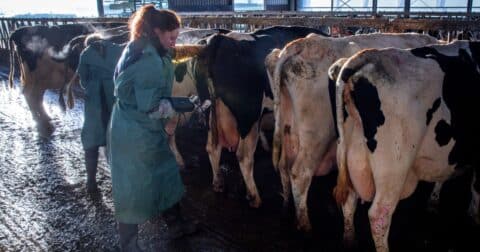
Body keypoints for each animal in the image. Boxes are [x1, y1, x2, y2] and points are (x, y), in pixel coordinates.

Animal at [193, 25, 328, 208]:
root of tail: (219, 39)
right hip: (249, 115)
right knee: (244, 155)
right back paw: (254, 197)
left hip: (211, 112)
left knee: (212, 147)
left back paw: (218, 182)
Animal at [264, 32, 440, 231]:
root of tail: (301, 44)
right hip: (316, 138)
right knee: (300, 174)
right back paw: (305, 224)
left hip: (289, 132)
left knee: (283, 167)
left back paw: (286, 208)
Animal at [334, 39, 480, 252]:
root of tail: (367, 56)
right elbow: (476, 190)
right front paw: (474, 218)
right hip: (393, 168)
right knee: (379, 215)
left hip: (351, 157)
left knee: (349, 202)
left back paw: (349, 241)